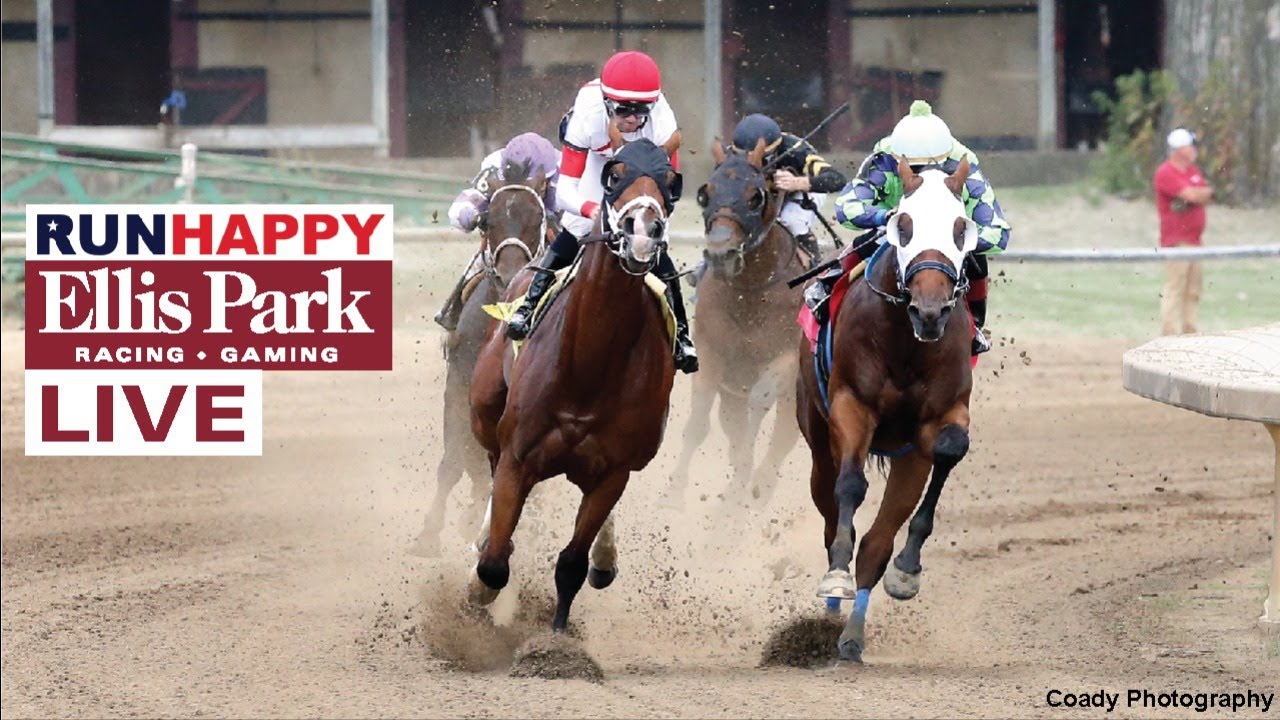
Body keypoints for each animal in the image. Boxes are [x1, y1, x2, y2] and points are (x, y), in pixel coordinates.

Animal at [413, 164, 551, 556]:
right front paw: (429, 533)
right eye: (489, 219)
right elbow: (454, 461)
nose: (511, 272)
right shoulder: (459, 387)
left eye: (537, 218)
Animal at [467, 137, 683, 632]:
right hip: (485, 416)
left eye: (669, 180)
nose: (643, 231)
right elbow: (493, 566)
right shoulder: (517, 456)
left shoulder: (613, 470)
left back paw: (605, 557)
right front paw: (478, 589)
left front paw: (558, 636)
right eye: (614, 177)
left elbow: (570, 565)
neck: (588, 361)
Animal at [667, 139, 805, 506]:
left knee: (781, 439)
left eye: (755, 195)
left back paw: (759, 487)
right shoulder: (710, 352)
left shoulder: (786, 358)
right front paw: (675, 490)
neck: (750, 293)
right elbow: (699, 419)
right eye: (706, 193)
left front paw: (741, 484)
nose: (721, 252)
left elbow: (760, 403)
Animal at [796, 157, 979, 662]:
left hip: (907, 459)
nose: (930, 310)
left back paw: (852, 635)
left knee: (877, 543)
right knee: (829, 506)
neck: (906, 342)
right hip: (817, 438)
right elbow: (850, 486)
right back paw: (834, 604)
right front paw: (835, 576)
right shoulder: (851, 406)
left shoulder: (940, 419)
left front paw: (907, 571)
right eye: (903, 224)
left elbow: (950, 449)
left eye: (961, 227)